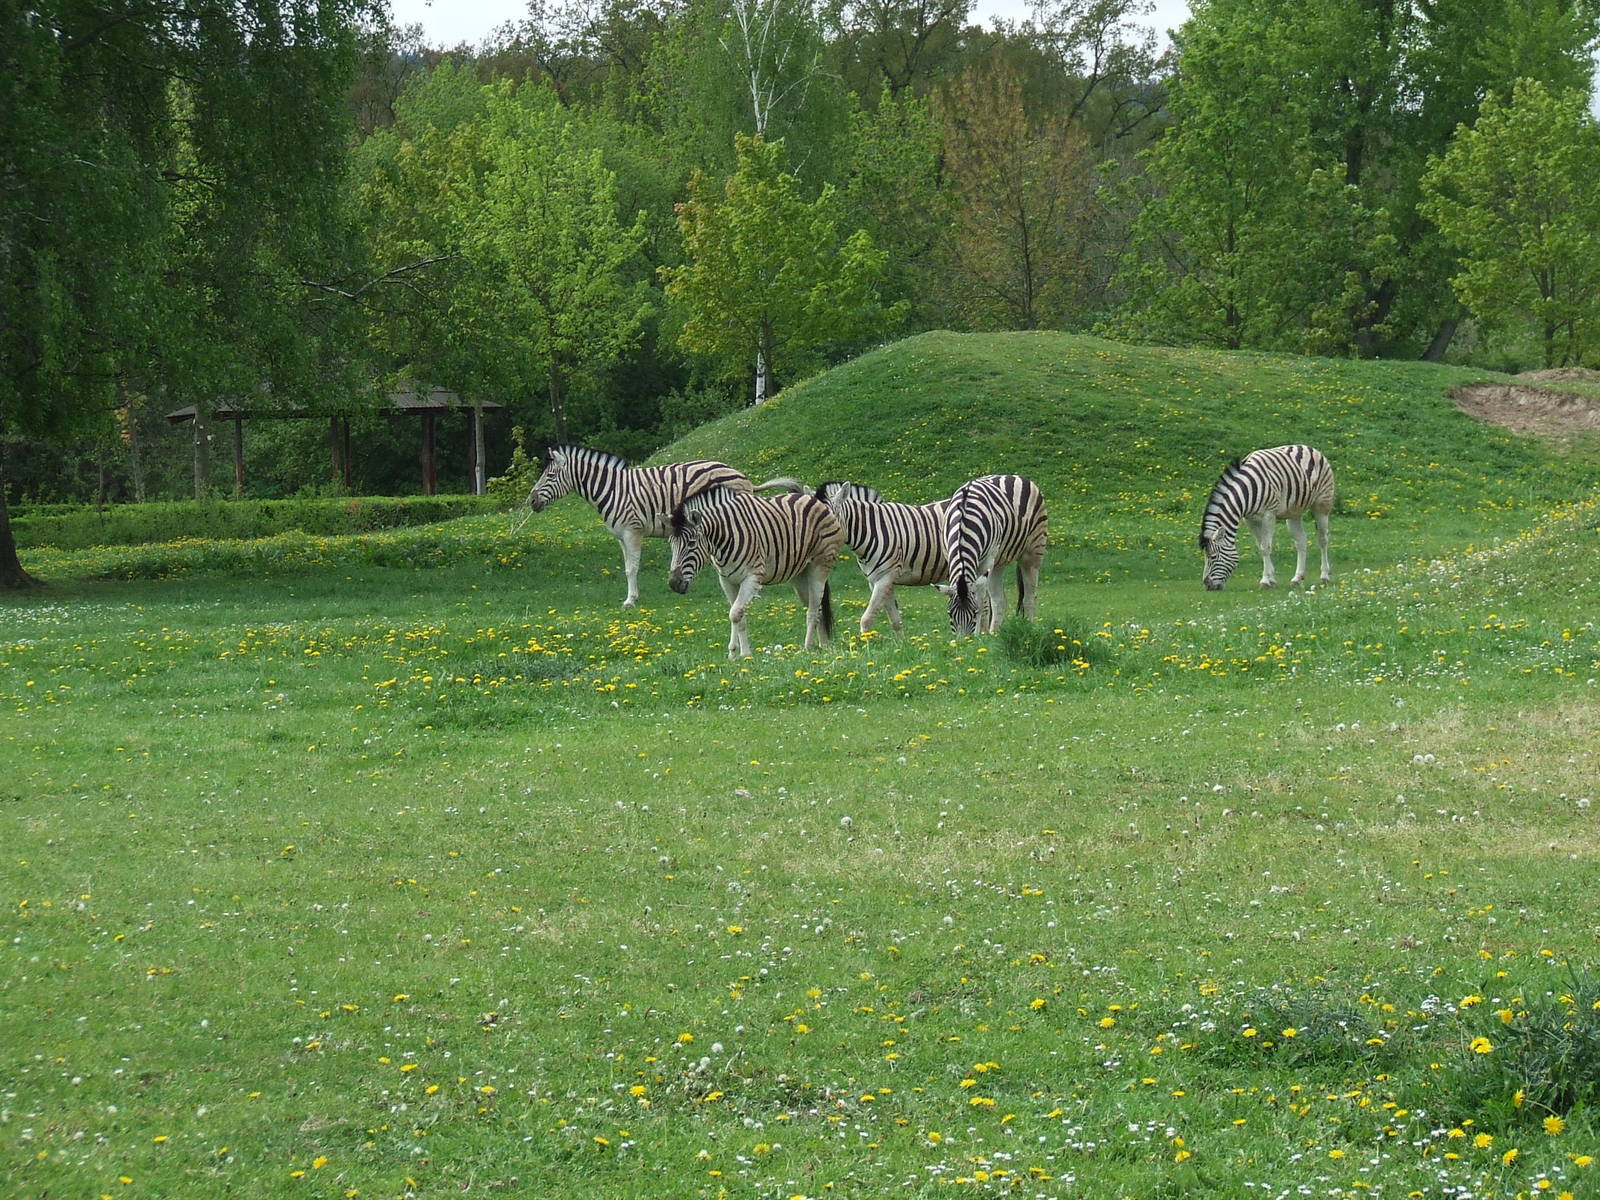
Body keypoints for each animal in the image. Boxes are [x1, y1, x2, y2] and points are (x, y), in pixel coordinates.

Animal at [526, 445, 754, 607]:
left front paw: (630, 601)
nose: (531, 501)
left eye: (550, 476)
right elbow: (627, 567)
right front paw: (632, 597)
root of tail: (740, 474)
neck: (613, 489)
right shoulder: (621, 537)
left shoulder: (632, 532)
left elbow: (631, 568)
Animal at [665, 484, 844, 659]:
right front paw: (737, 653)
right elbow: (738, 615)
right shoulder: (726, 580)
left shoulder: (752, 577)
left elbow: (735, 613)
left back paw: (806, 648)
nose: (673, 583)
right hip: (800, 575)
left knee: (813, 612)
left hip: (819, 567)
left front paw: (741, 652)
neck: (725, 537)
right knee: (818, 609)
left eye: (692, 543)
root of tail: (814, 500)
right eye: (671, 544)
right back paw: (824, 645)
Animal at [813, 480, 985, 634]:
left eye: (828, 520)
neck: (872, 530)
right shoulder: (878, 580)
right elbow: (895, 619)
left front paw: (864, 645)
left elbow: (867, 619)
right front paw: (901, 645)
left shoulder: (885, 578)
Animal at [943, 474, 1048, 636]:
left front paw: (977, 634)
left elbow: (981, 599)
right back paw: (994, 633)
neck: (963, 522)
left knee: (1029, 597)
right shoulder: (949, 553)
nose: (963, 640)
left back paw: (1029, 628)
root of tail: (1015, 476)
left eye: (974, 613)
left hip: (1033, 551)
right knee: (999, 600)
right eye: (950, 614)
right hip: (999, 560)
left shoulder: (986, 561)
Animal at [1198, 444, 1335, 591]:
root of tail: (1308, 447)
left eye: (1212, 556)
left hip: (1322, 504)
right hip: (1294, 512)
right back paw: (1297, 578)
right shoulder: (1250, 519)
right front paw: (1271, 579)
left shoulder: (1268, 515)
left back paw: (1324, 577)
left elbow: (1266, 547)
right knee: (1301, 540)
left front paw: (1265, 581)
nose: (1207, 585)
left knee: (1322, 539)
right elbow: (1260, 546)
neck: (1247, 491)